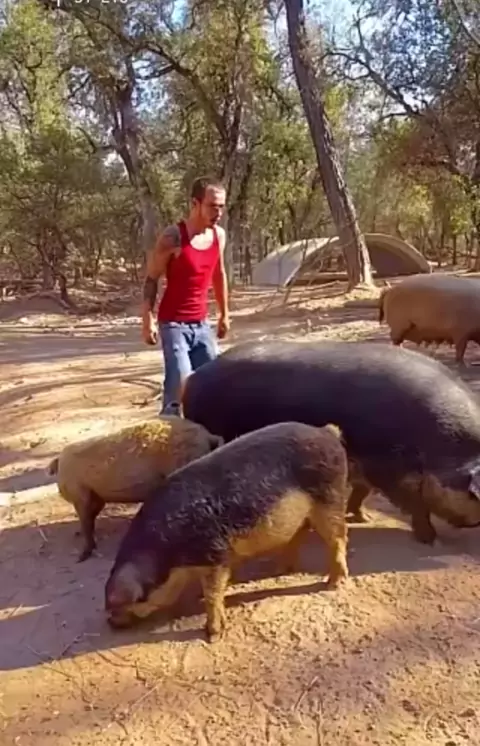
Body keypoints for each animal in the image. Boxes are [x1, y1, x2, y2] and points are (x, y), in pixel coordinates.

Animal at [104, 421, 350, 641]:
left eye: (121, 604)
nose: (110, 622)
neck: (169, 553)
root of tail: (327, 433)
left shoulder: (214, 554)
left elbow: (213, 594)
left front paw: (213, 634)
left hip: (330, 498)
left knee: (338, 538)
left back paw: (334, 583)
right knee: (298, 535)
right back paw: (279, 569)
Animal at [182, 339, 480, 544]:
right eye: (474, 493)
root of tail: (194, 377)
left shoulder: (365, 463)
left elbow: (361, 491)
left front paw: (362, 518)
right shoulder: (387, 468)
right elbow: (414, 503)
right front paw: (429, 538)